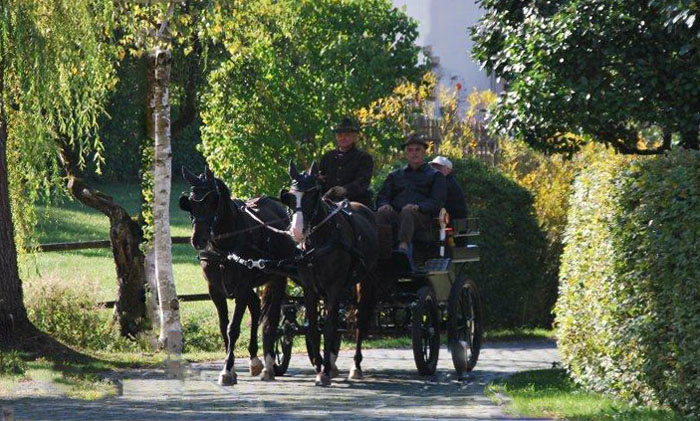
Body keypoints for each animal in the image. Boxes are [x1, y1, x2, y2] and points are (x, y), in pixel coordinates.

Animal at [180, 167, 296, 384]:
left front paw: (227, 370)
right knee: (256, 307)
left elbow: (233, 328)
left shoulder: (241, 287)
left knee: (271, 320)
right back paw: (255, 360)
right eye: (190, 202)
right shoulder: (215, 290)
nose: (198, 240)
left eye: (212, 201)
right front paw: (231, 367)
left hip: (277, 279)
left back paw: (268, 365)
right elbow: (223, 327)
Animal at [278, 162, 378, 386]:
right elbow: (314, 328)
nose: (297, 231)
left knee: (359, 321)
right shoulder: (310, 288)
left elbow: (330, 327)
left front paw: (324, 371)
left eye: (312, 195)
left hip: (365, 282)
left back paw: (355, 367)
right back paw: (331, 363)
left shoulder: (334, 287)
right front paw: (319, 367)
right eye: (290, 196)